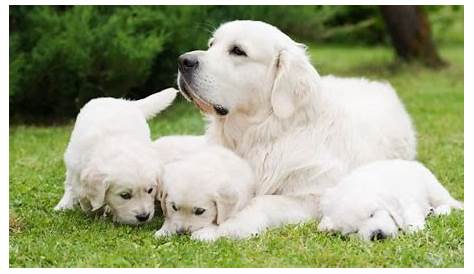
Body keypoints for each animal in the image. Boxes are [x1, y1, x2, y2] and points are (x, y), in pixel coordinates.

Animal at [53, 88, 179, 225]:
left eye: (150, 190)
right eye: (125, 195)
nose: (143, 217)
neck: (117, 143)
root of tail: (123, 101)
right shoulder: (78, 167)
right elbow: (82, 193)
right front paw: (91, 208)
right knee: (69, 184)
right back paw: (64, 205)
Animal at [318, 159, 462, 241]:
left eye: (372, 214)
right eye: (354, 231)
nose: (377, 234)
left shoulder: (404, 200)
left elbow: (409, 215)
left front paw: (415, 230)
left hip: (432, 186)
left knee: (447, 202)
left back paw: (444, 211)